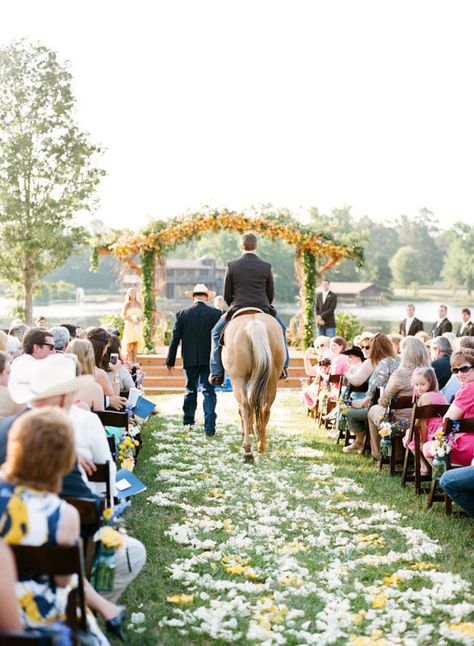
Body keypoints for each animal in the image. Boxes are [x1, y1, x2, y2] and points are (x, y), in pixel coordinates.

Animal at [222, 312, 286, 464]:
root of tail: (254, 324)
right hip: (271, 378)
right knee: (264, 408)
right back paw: (261, 444)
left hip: (237, 378)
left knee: (245, 406)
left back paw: (248, 451)